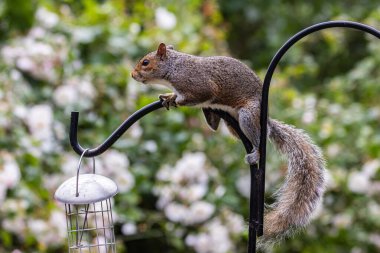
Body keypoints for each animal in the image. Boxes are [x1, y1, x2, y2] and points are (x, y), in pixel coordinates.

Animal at [131, 43, 326, 247]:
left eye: (145, 62)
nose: (132, 74)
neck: (175, 67)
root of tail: (266, 121)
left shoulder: (199, 85)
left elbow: (200, 95)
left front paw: (175, 99)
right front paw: (170, 96)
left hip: (248, 116)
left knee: (259, 139)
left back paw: (256, 153)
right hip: (232, 125)